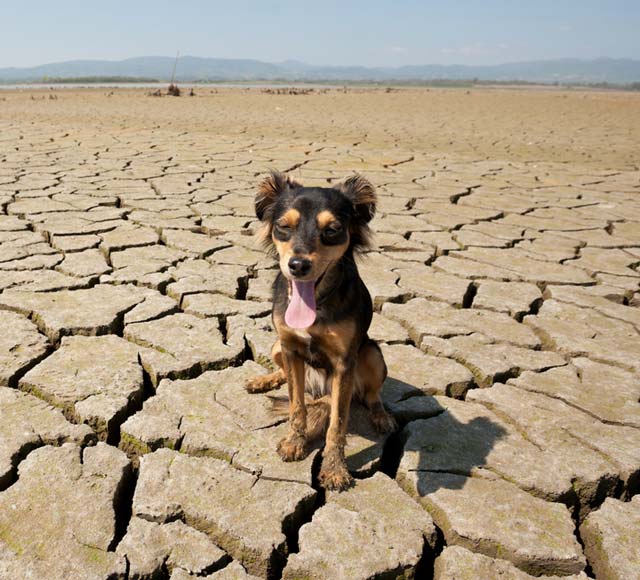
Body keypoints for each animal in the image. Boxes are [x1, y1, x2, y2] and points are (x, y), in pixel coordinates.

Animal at [244, 171, 396, 490]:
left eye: (333, 229)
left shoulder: (344, 363)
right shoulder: (289, 346)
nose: (298, 265)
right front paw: (294, 442)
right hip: (277, 346)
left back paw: (381, 416)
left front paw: (335, 469)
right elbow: (296, 405)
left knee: (372, 394)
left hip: (372, 353)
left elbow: (337, 423)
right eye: (283, 226)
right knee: (287, 375)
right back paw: (264, 380)